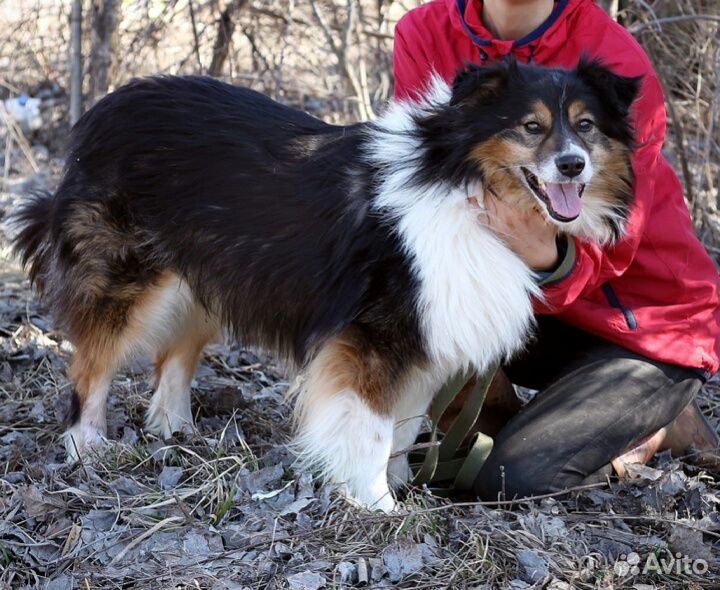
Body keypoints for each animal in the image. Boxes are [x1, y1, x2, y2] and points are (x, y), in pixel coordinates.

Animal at [14, 56, 640, 512]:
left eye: (585, 126)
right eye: (530, 127)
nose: (573, 165)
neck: (458, 180)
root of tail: (106, 108)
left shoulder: (425, 344)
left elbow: (404, 429)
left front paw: (403, 484)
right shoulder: (371, 340)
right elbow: (372, 428)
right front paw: (376, 503)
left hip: (205, 275)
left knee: (175, 355)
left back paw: (177, 429)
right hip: (130, 282)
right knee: (90, 366)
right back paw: (87, 447)